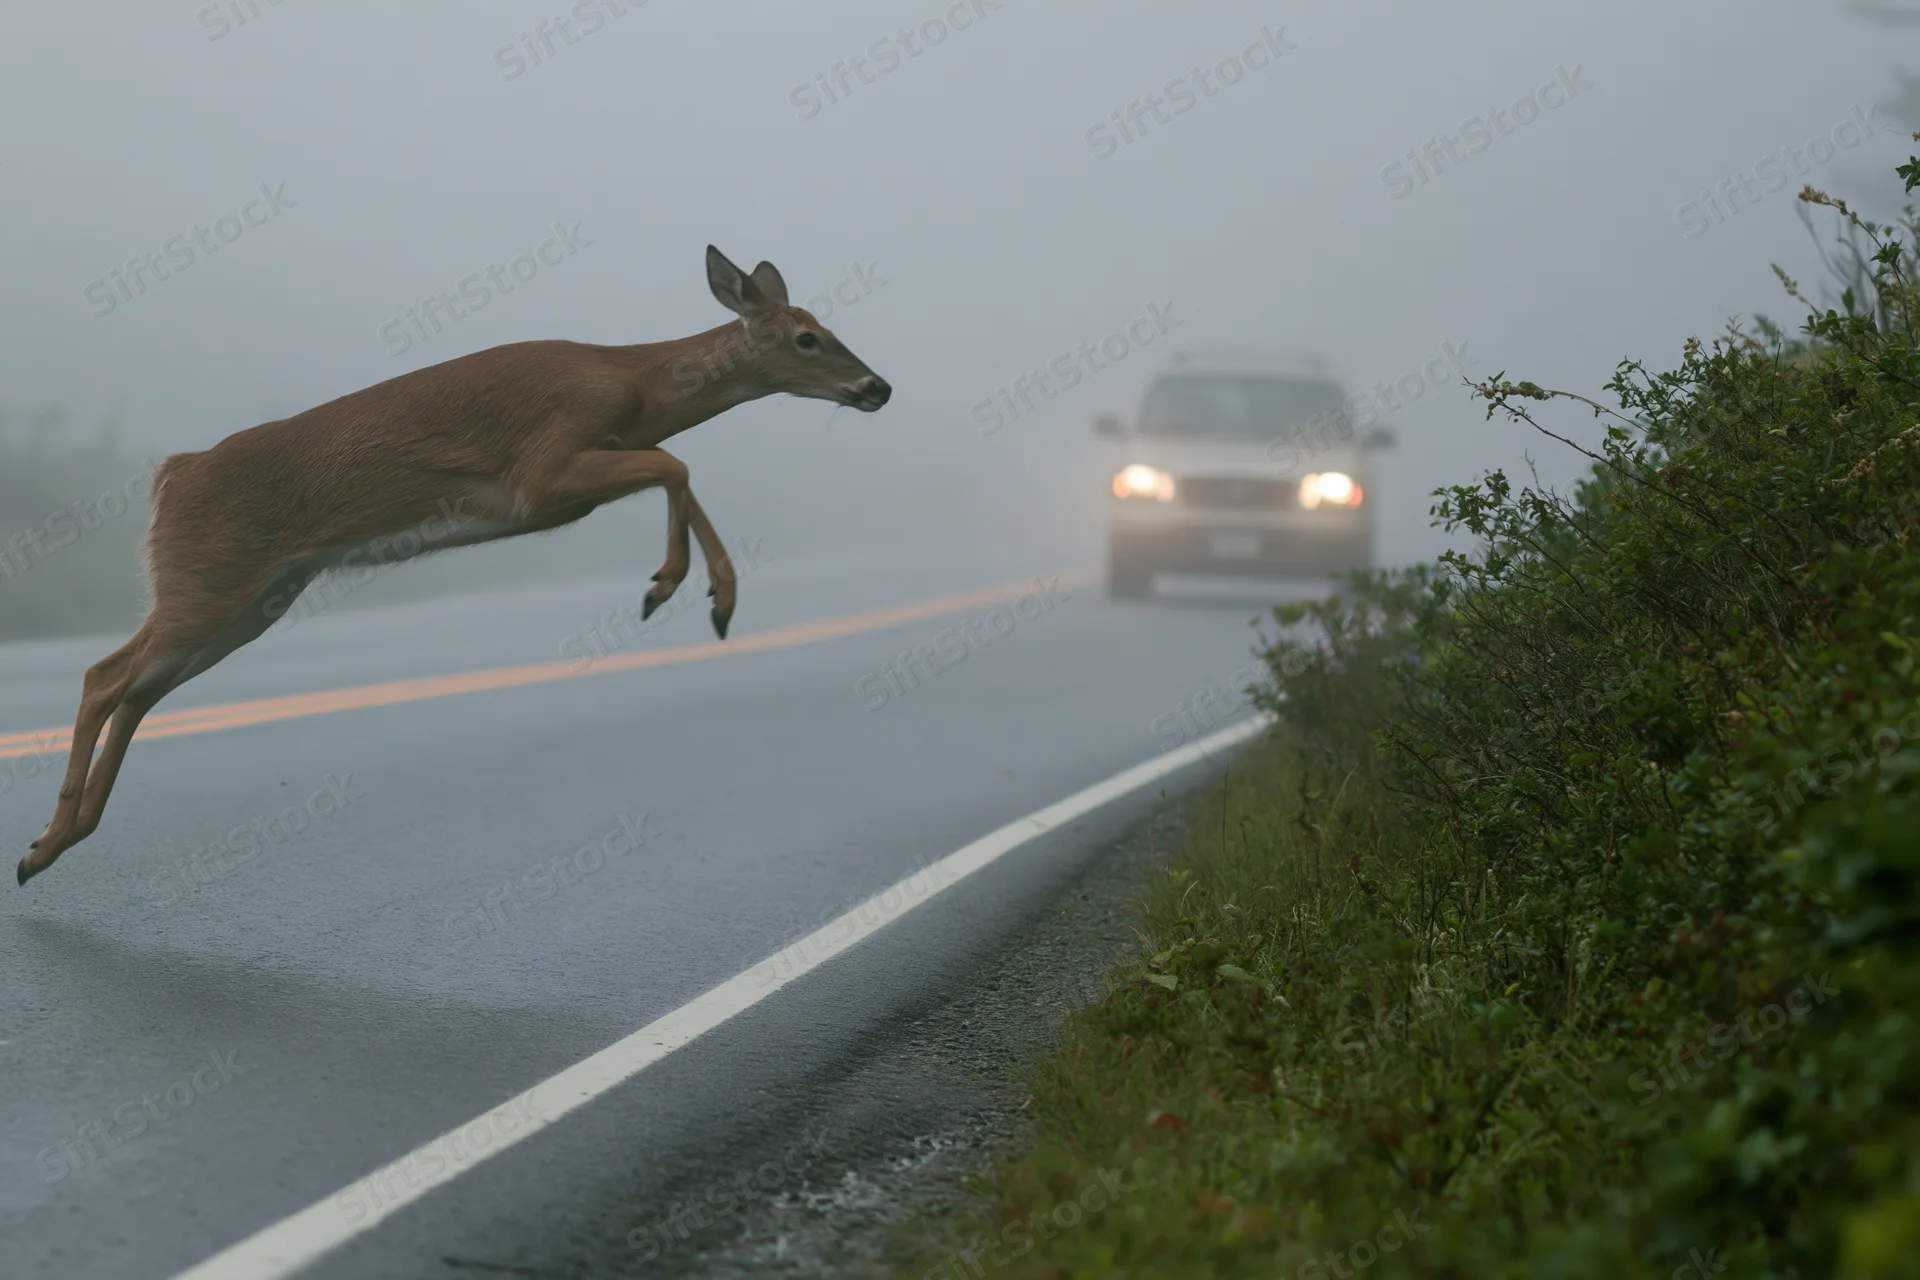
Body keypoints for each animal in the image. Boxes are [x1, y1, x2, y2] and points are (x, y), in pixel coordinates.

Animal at [17, 246, 891, 887]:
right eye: (807, 337)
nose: (877, 386)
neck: (631, 384)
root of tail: (173, 475)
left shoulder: (570, 479)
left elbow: (674, 467)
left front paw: (703, 592)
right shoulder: (542, 473)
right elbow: (674, 463)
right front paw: (684, 589)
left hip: (249, 601)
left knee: (138, 690)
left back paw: (53, 844)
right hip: (208, 580)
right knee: (105, 675)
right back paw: (47, 840)